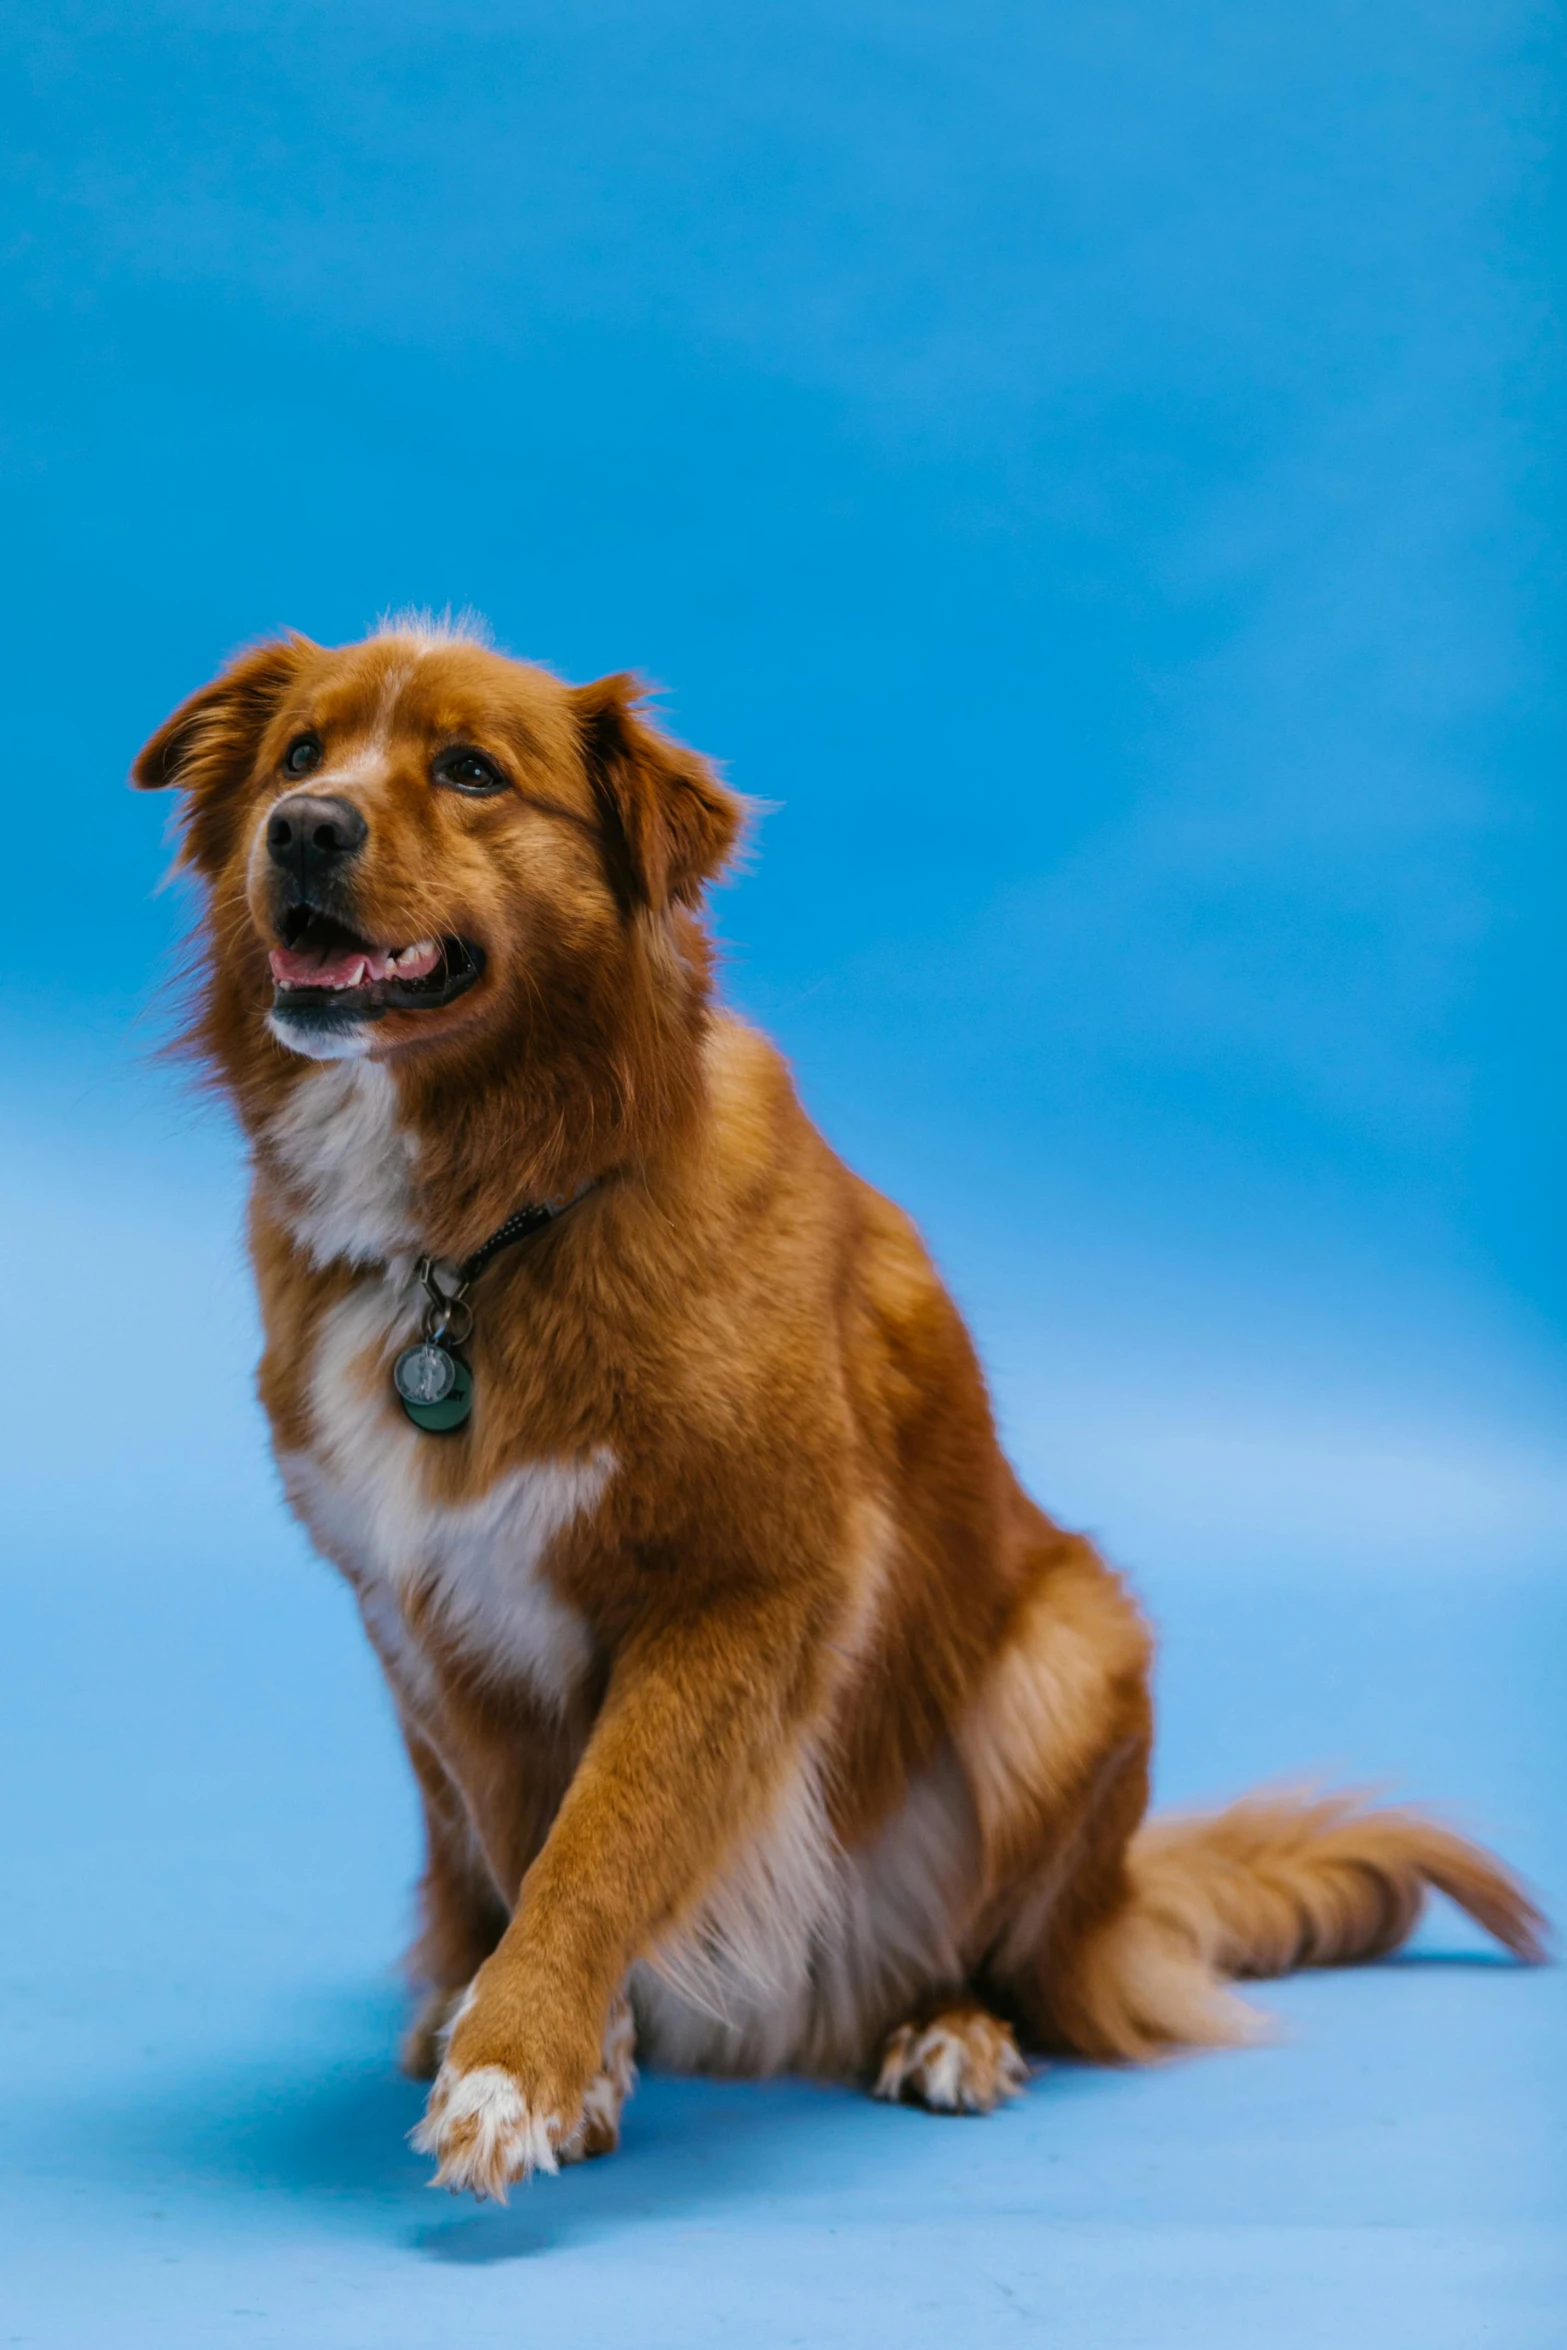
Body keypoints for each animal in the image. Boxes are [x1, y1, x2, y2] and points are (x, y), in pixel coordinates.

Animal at [131, 615, 1541, 2190]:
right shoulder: (433, 1616)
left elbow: (606, 1834)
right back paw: (451, 1991)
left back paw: (950, 2024)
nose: (302, 828)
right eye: (297, 755)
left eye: (471, 771)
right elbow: (529, 1832)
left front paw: (515, 2065)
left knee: (1019, 1957)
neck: (483, 1230)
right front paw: (568, 2057)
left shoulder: (752, 1585)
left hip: (1069, 1657)